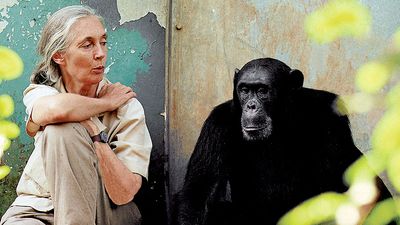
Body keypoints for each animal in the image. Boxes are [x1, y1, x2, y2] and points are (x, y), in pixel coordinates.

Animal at [173, 58, 394, 225]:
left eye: (262, 90)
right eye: (244, 90)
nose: (251, 106)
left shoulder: (331, 116)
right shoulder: (216, 125)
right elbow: (199, 193)